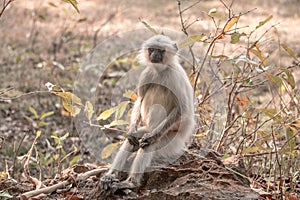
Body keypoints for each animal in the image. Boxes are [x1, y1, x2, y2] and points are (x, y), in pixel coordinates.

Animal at [99, 34, 196, 192]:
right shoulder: (147, 73)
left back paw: (131, 182)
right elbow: (140, 99)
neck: (161, 71)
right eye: (151, 49)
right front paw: (131, 131)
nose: (154, 55)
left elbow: (183, 110)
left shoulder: (174, 76)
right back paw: (111, 176)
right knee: (132, 139)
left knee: (148, 143)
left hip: (170, 140)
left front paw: (151, 138)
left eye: (160, 51)